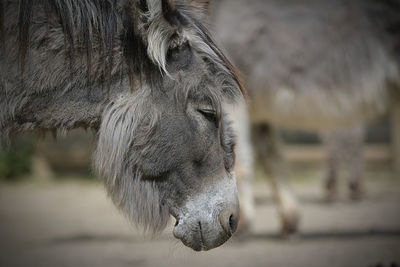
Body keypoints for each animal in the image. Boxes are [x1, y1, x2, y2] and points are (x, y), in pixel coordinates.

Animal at [211, 0, 398, 234]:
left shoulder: (230, 96)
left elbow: (239, 160)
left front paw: (242, 226)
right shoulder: (254, 112)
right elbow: (272, 157)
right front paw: (289, 221)